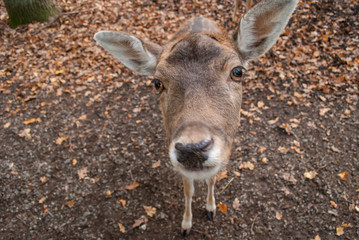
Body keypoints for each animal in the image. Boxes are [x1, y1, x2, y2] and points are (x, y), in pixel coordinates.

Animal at [94, 0, 300, 236]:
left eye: (238, 71)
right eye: (157, 83)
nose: (192, 149)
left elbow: (211, 180)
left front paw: (211, 209)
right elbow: (188, 191)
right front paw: (186, 225)